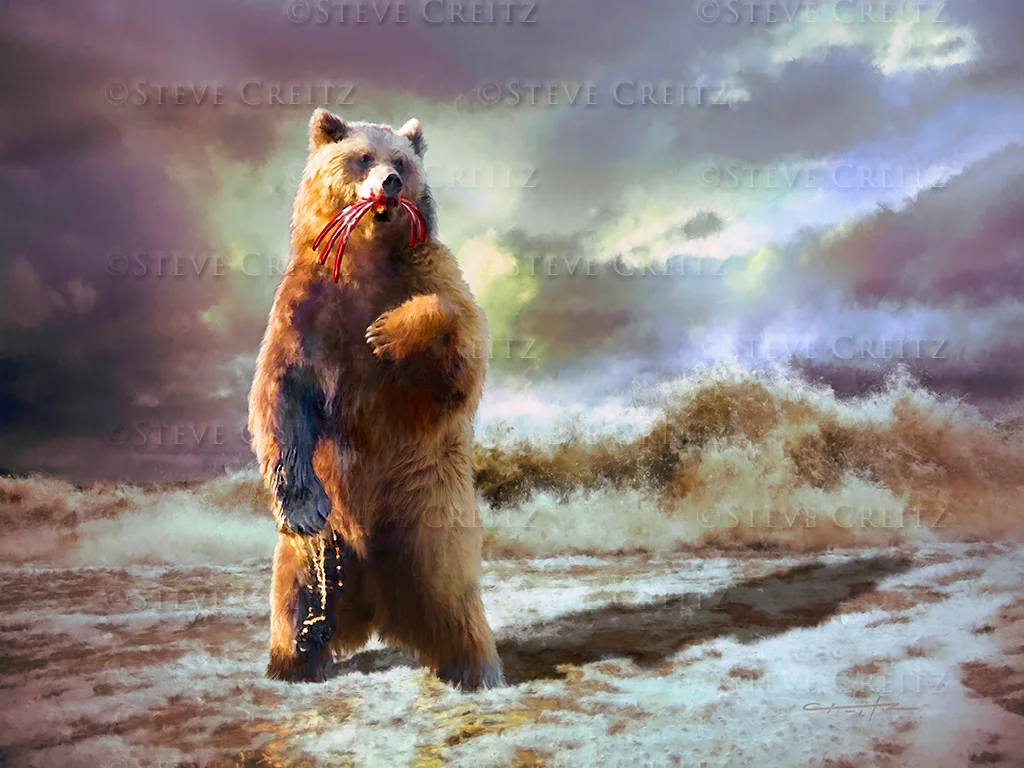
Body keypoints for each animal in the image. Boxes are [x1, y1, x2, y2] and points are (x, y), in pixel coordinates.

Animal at [247, 108, 503, 690]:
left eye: (402, 163)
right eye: (363, 156)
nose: (389, 183)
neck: (365, 262)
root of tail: (377, 608)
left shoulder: (426, 272)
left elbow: (461, 344)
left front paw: (388, 332)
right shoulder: (304, 306)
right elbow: (280, 392)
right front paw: (301, 505)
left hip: (430, 516)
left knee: (453, 598)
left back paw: (475, 669)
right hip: (319, 555)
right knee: (294, 594)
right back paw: (293, 661)